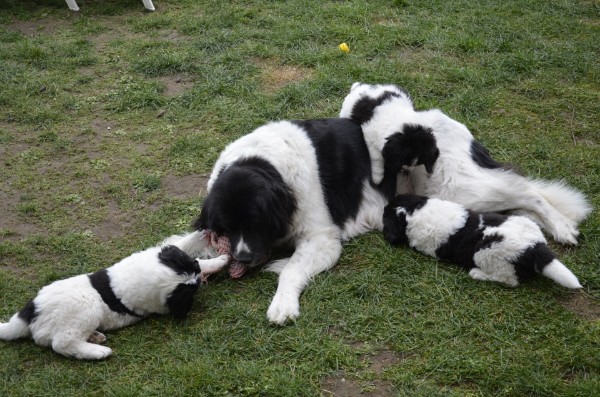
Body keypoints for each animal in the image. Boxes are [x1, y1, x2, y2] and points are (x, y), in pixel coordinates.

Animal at [0, 232, 230, 358]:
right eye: (192, 291)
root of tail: (30, 311)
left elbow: (189, 251)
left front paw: (217, 257)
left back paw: (95, 337)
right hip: (84, 309)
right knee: (60, 343)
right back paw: (98, 352)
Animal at [193, 119, 398, 324]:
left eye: (256, 223)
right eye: (227, 227)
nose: (243, 258)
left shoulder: (321, 237)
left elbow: (290, 269)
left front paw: (282, 304)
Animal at [382, 194, 584, 288]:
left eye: (385, 214)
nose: (385, 206)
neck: (414, 212)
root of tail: (535, 247)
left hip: (487, 255)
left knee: (509, 280)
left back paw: (477, 274)